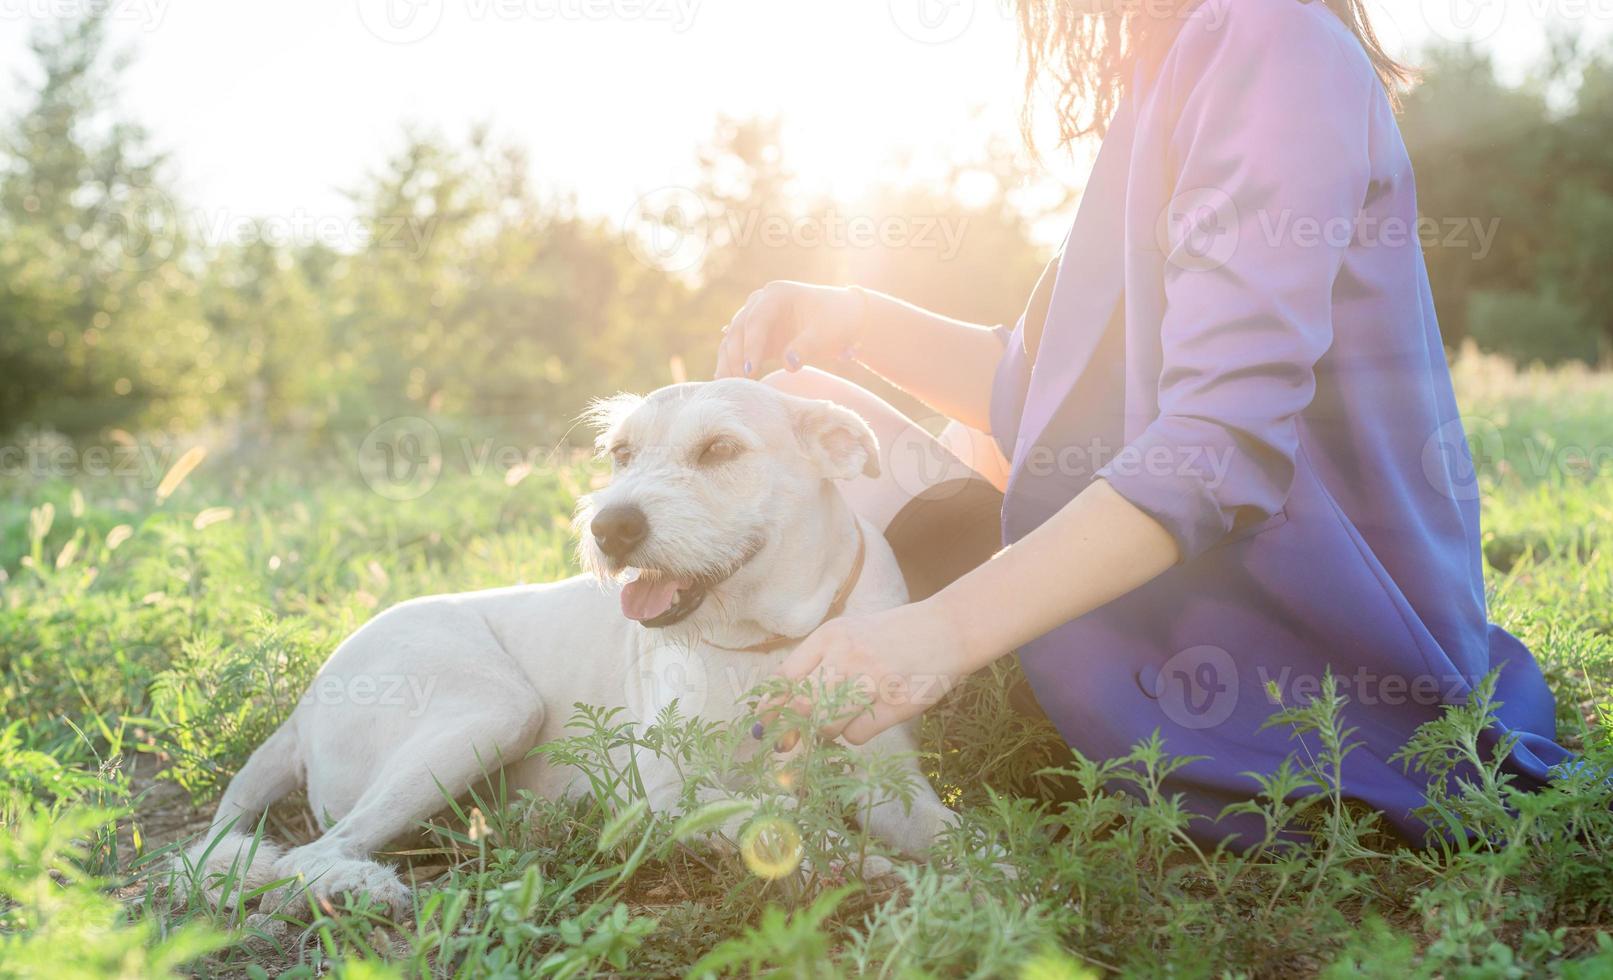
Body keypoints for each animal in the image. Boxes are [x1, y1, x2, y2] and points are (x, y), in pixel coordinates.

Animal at [191, 380, 954, 909]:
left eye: (719, 449)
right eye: (621, 454)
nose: (609, 527)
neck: (772, 638)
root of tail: (303, 704)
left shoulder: (888, 779)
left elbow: (949, 832)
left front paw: (972, 878)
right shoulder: (669, 793)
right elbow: (781, 820)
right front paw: (874, 873)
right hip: (494, 710)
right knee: (308, 854)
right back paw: (360, 884)